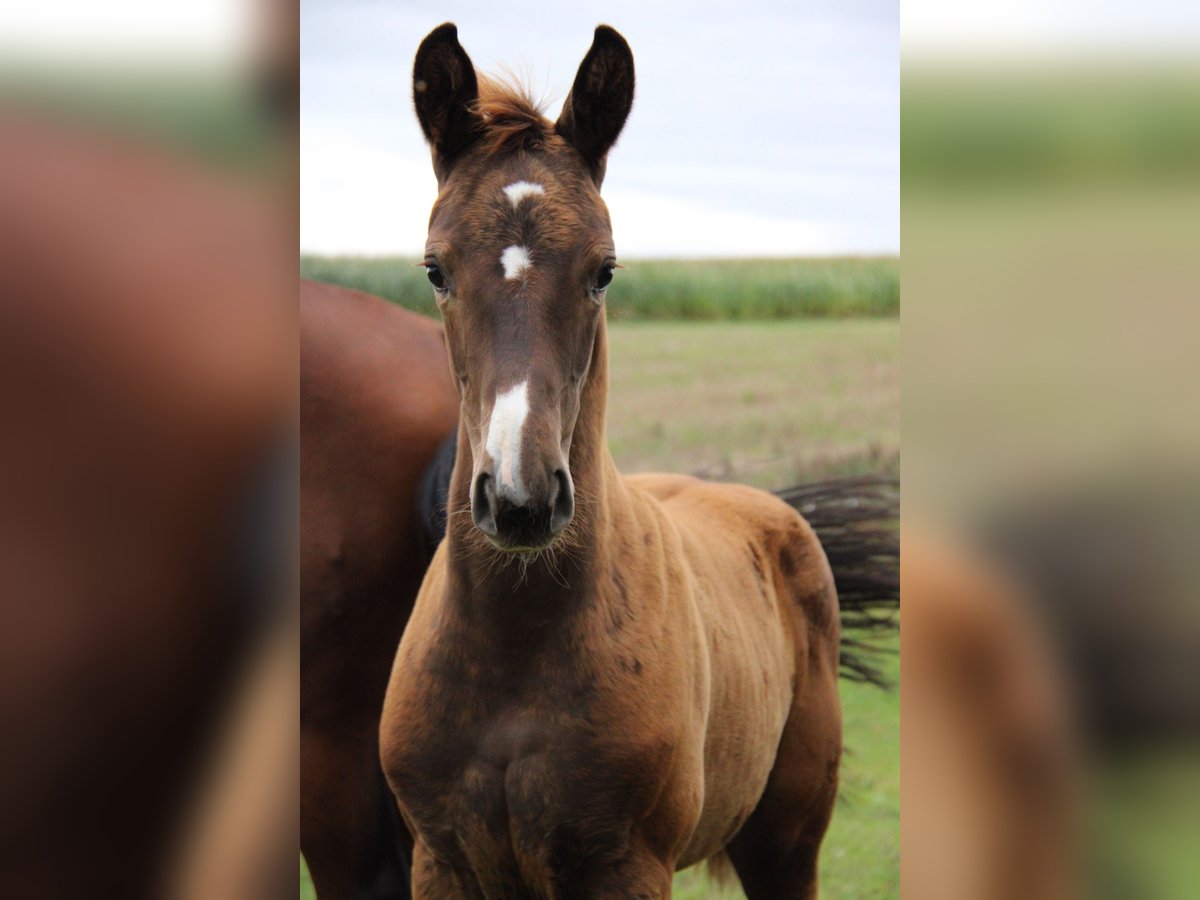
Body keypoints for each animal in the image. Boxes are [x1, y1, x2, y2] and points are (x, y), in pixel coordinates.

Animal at [379, 22, 840, 900]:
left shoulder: (625, 867)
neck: (514, 651)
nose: (520, 500)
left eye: (605, 269)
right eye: (434, 268)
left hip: (787, 842)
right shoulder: (438, 861)